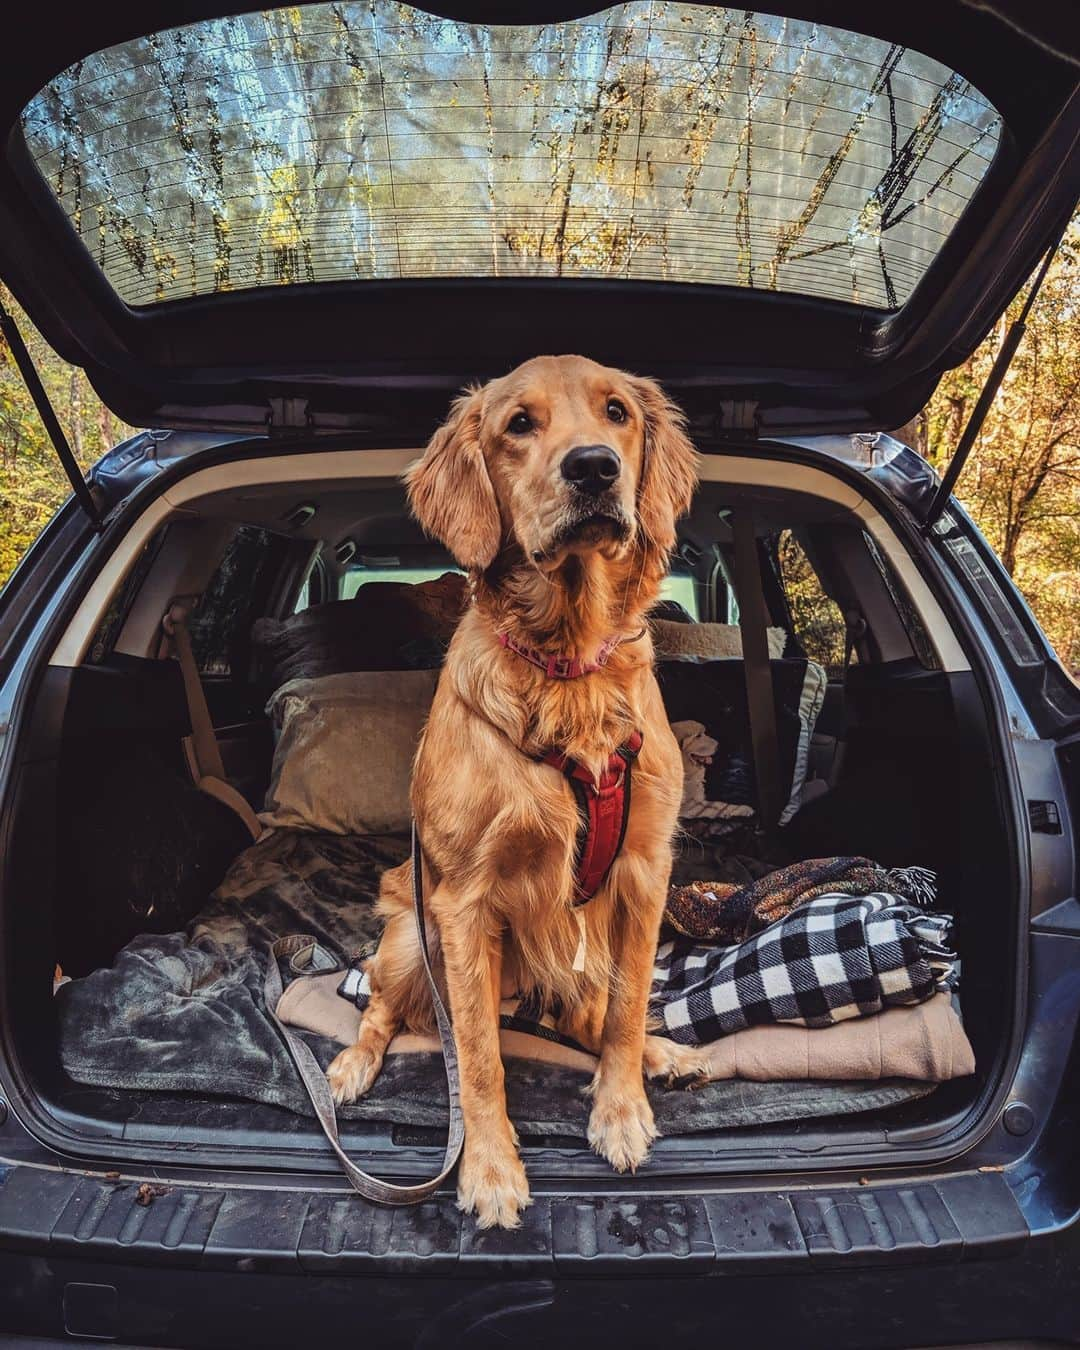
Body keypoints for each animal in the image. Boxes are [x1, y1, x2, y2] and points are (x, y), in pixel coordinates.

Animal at [325, 353, 702, 1231]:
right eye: (518, 425)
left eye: (617, 412)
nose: (594, 468)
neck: (567, 668)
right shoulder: (463, 903)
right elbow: (478, 1057)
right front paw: (489, 1167)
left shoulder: (645, 872)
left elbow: (626, 1008)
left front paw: (621, 1107)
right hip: (412, 936)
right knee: (384, 1007)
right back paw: (353, 1065)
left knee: (589, 1016)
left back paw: (659, 1053)